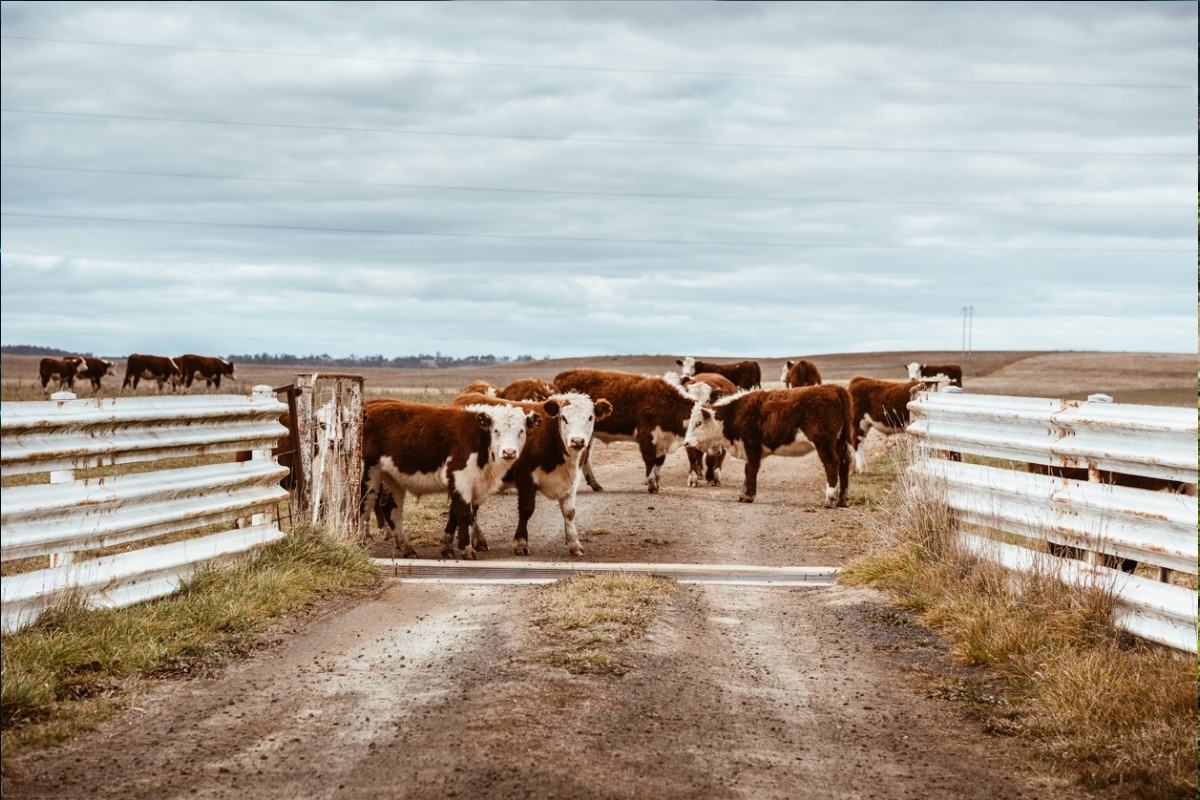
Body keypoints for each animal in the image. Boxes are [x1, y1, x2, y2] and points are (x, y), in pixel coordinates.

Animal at [361, 399, 541, 559]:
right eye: (496, 430)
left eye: (521, 431)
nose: (509, 452)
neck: (479, 439)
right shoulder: (461, 478)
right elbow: (465, 514)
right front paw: (467, 550)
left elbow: (454, 514)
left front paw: (447, 548)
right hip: (369, 472)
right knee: (365, 505)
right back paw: (361, 543)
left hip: (392, 478)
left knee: (391, 509)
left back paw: (407, 548)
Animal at [451, 391, 612, 556]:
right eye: (563, 418)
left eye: (590, 417)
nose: (577, 440)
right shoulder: (526, 477)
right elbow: (526, 509)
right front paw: (521, 543)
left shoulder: (571, 480)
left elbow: (569, 512)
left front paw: (575, 544)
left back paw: (478, 541)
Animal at [553, 368, 703, 494]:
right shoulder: (647, 437)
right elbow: (650, 460)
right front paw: (652, 485)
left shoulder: (662, 440)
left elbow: (659, 463)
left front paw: (657, 483)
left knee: (585, 458)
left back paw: (595, 485)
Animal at [684, 384, 854, 507]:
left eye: (698, 423)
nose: (686, 442)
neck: (735, 412)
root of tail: (835, 389)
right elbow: (748, 470)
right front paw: (744, 494)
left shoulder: (751, 444)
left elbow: (752, 468)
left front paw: (748, 496)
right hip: (840, 441)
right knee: (844, 463)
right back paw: (842, 499)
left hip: (824, 442)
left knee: (832, 463)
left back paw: (830, 499)